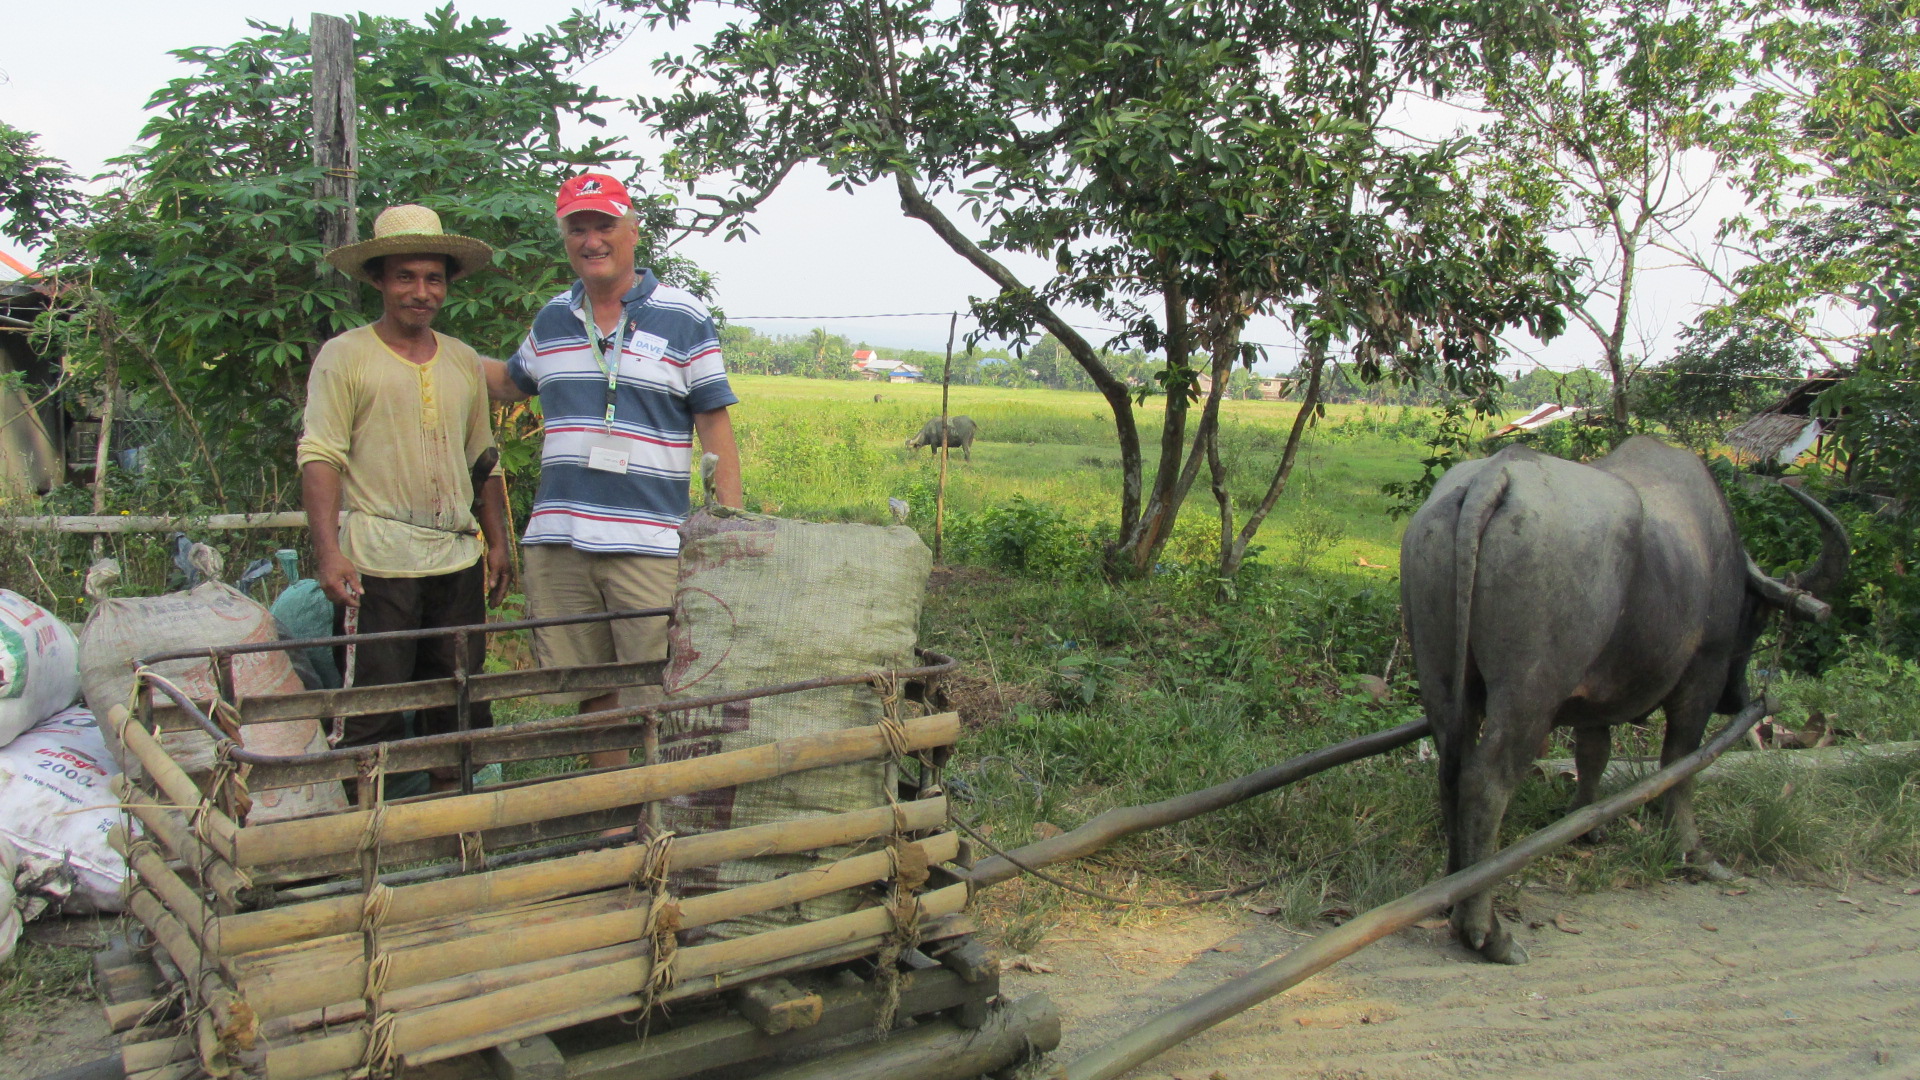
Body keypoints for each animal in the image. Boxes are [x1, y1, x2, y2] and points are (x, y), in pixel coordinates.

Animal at [1405, 432, 1850, 960]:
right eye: (1757, 617)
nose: (1735, 698)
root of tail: (1495, 476)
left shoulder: (1592, 699)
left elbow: (1594, 754)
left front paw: (1587, 825)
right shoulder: (1702, 673)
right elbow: (1680, 764)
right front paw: (1694, 853)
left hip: (1443, 677)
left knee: (1451, 768)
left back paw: (1453, 891)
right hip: (1529, 695)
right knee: (1486, 782)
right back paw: (1486, 929)